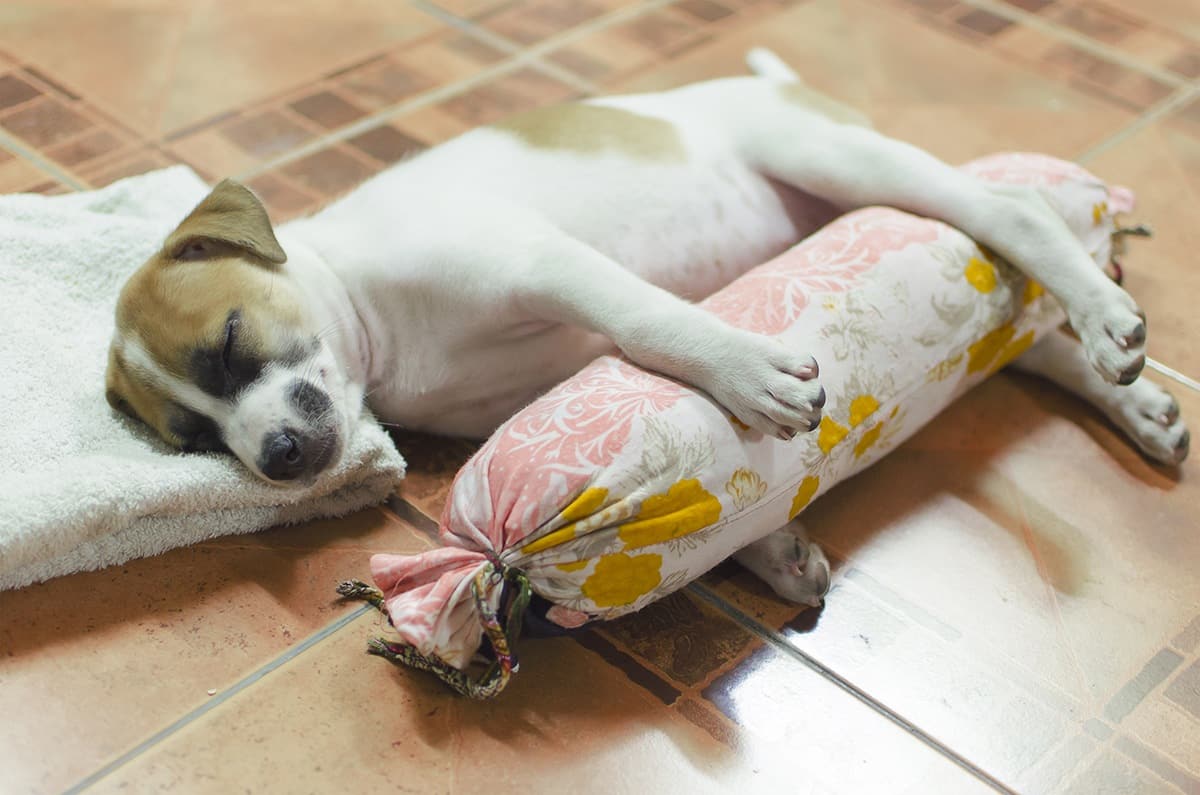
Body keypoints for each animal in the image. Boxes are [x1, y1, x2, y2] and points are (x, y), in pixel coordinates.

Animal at [105, 49, 1190, 607]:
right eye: (195, 439)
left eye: (230, 343)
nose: (280, 457)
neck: (375, 323)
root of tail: (771, 76)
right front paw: (770, 548)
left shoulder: (550, 268)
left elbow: (656, 322)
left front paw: (747, 373)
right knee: (1023, 334)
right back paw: (1134, 399)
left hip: (840, 159)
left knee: (1015, 215)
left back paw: (1109, 321)